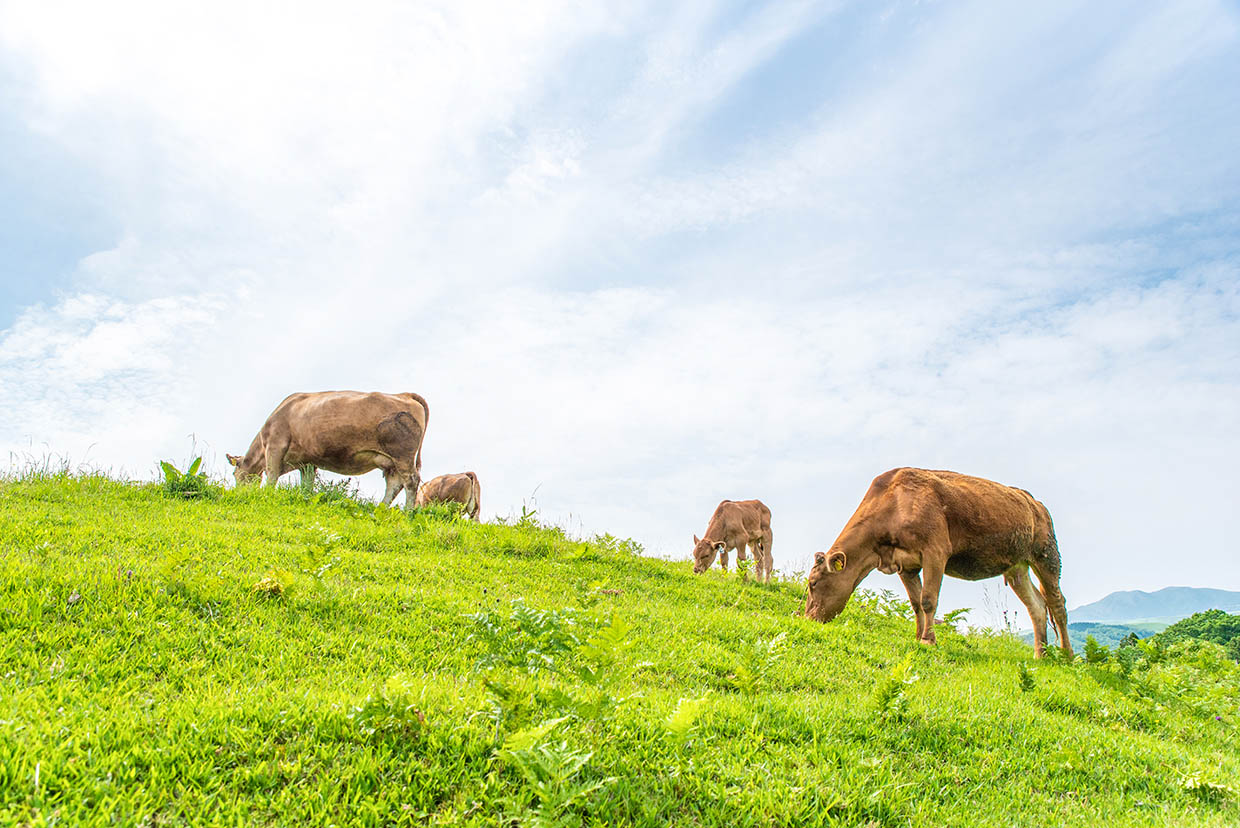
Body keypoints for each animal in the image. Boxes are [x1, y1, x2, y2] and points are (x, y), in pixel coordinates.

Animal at [225, 389, 429, 510]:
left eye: (235, 474)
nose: (239, 493)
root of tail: (405, 394)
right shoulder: (307, 462)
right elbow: (307, 484)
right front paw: (305, 498)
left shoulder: (275, 446)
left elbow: (272, 475)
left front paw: (267, 494)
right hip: (390, 461)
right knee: (394, 484)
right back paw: (380, 508)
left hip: (402, 455)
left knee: (411, 481)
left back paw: (408, 511)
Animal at [798, 468, 1071, 654]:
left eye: (813, 583)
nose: (808, 618)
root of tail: (1034, 502)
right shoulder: (905, 565)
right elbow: (916, 603)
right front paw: (919, 636)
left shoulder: (935, 552)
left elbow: (929, 600)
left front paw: (928, 640)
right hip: (1017, 566)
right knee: (1037, 605)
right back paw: (1040, 654)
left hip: (1046, 553)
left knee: (1057, 603)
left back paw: (1066, 655)